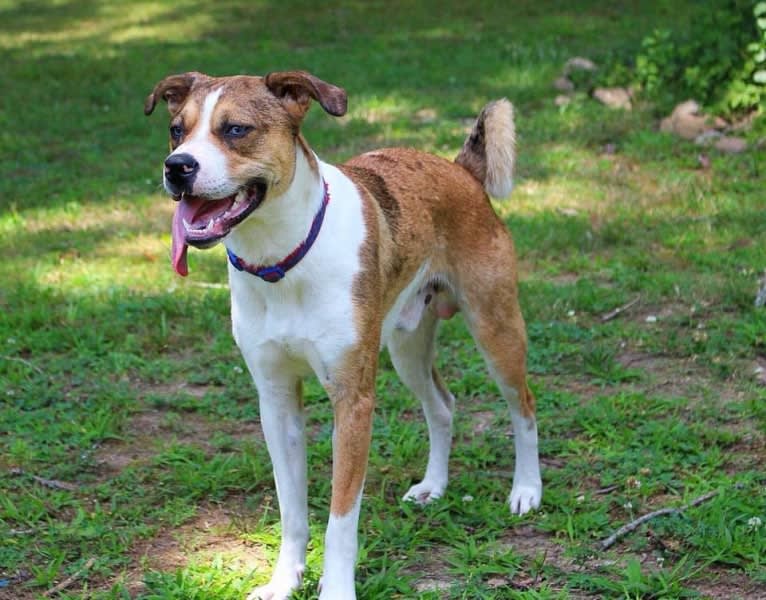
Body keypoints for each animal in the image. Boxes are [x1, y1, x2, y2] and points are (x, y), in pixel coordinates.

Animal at [142, 71, 540, 600]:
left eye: (235, 130)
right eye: (175, 130)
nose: (177, 167)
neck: (282, 261)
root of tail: (461, 172)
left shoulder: (353, 400)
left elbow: (340, 518)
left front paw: (334, 590)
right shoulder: (276, 400)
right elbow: (291, 509)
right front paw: (284, 580)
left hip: (495, 328)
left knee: (524, 407)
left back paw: (527, 490)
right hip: (406, 347)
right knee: (442, 405)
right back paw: (434, 485)